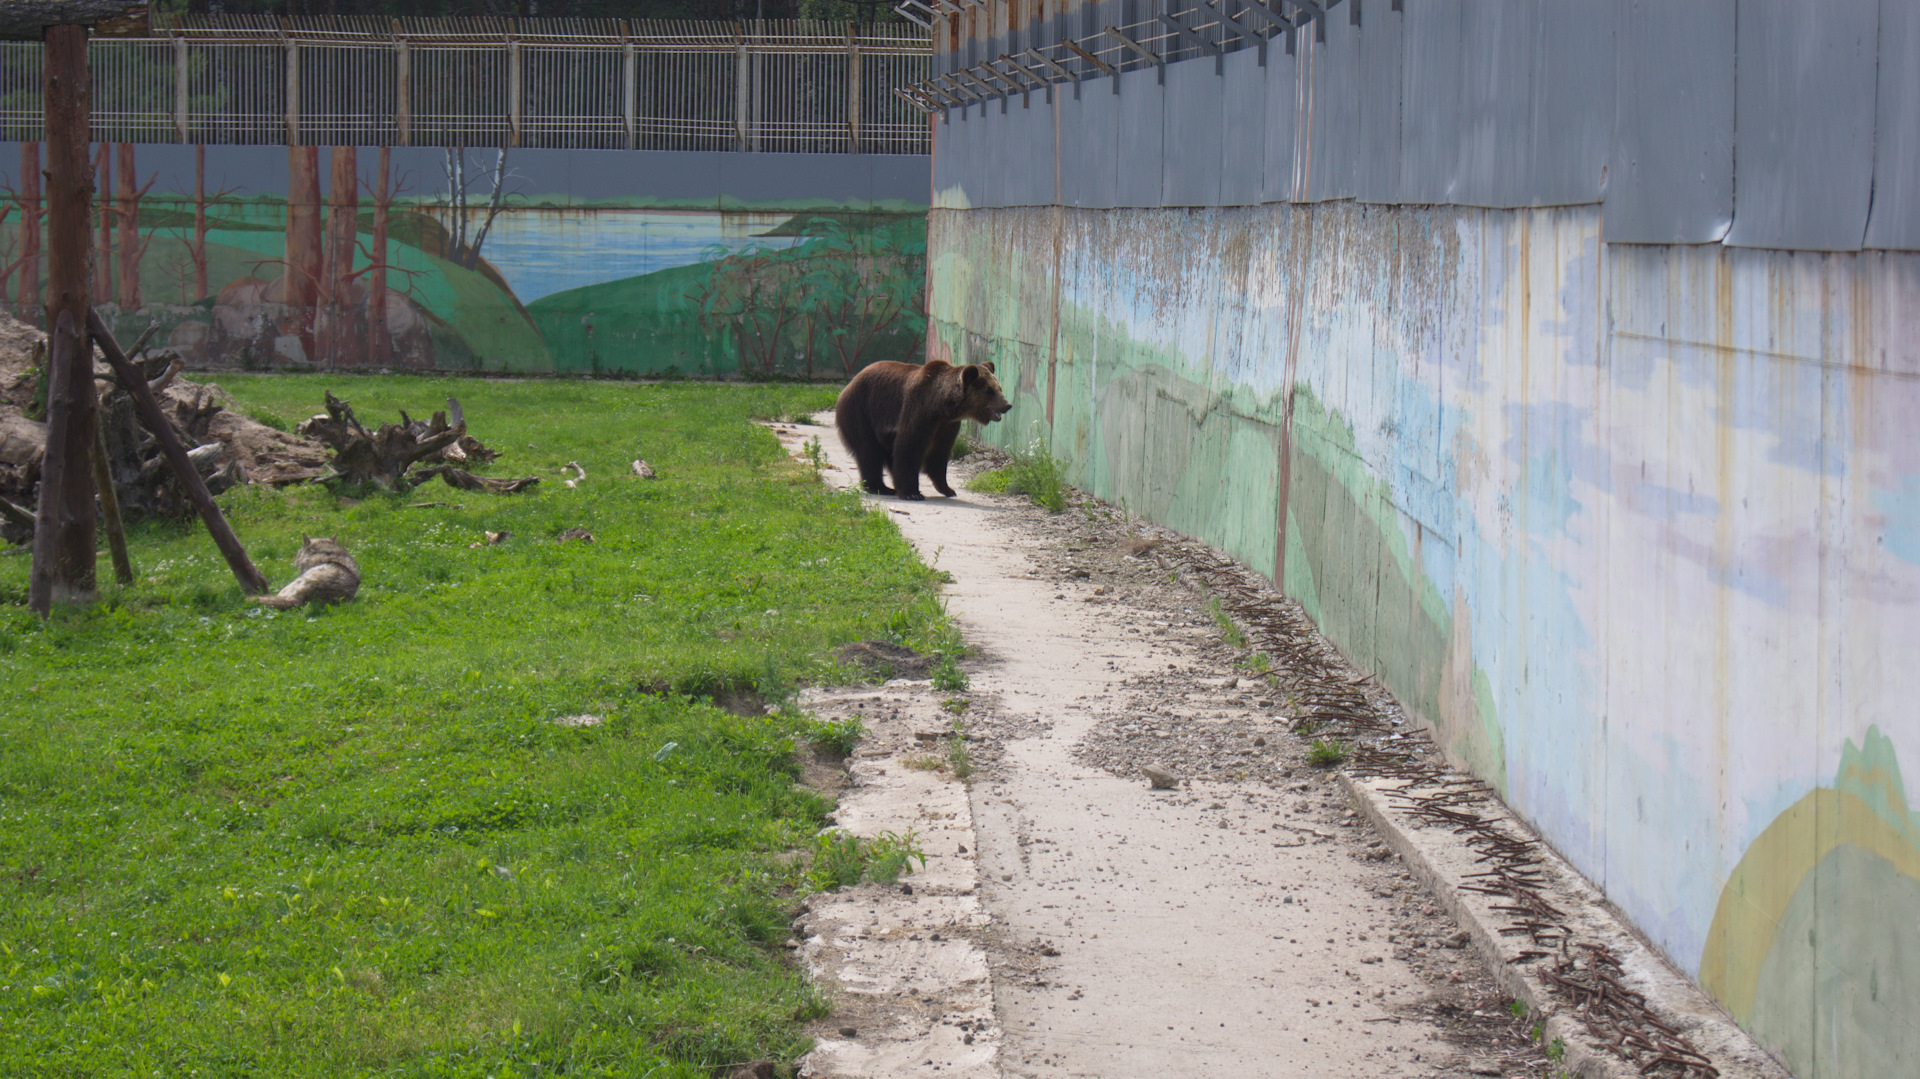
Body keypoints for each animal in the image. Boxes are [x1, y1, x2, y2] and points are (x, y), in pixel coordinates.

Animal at [840, 359, 1021, 499]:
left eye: (999, 388)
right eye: (990, 390)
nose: (1007, 405)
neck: (941, 406)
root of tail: (849, 384)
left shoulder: (947, 426)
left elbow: (939, 454)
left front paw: (948, 489)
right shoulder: (919, 412)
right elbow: (909, 447)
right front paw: (912, 493)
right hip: (861, 412)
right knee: (869, 451)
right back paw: (879, 487)